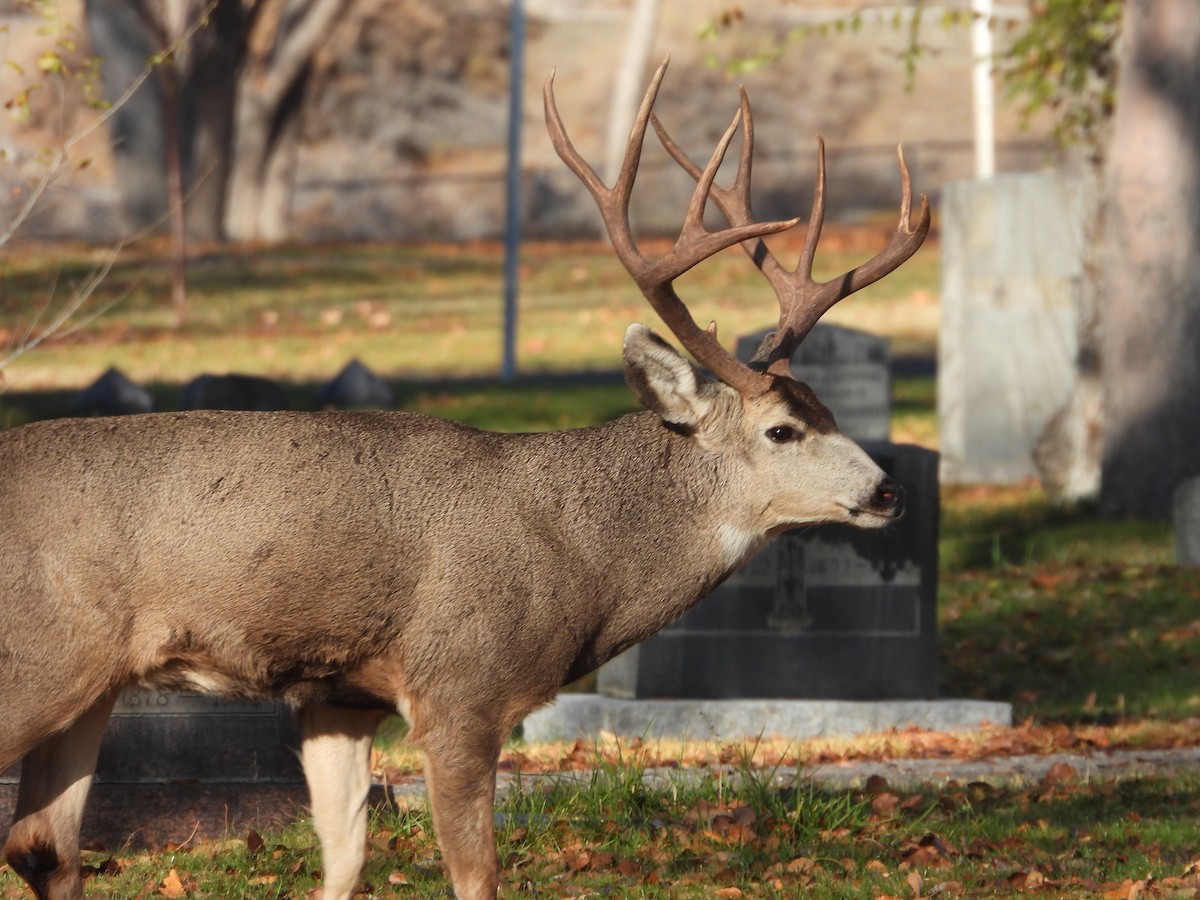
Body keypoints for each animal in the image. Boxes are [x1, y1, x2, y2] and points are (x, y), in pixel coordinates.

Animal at [0, 59, 928, 900]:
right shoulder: (461, 686)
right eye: (782, 430)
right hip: (38, 661)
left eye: (829, 412)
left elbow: (345, 861)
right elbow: (475, 876)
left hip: (90, 686)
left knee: (45, 847)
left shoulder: (338, 696)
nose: (889, 491)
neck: (579, 556)